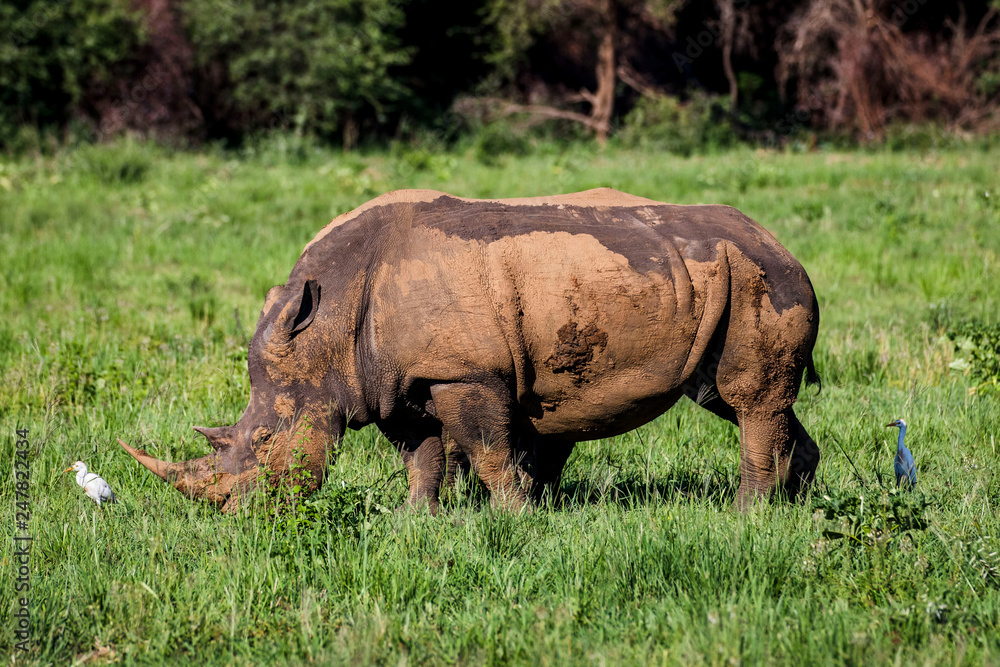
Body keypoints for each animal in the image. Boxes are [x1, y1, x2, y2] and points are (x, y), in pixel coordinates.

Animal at [121, 188, 820, 512]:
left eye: (266, 443)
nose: (239, 517)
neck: (327, 326)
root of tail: (784, 243)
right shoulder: (397, 379)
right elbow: (423, 458)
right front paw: (415, 521)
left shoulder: (464, 373)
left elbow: (487, 453)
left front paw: (516, 519)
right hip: (721, 277)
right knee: (736, 399)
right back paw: (797, 505)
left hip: (759, 277)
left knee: (748, 400)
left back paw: (746, 516)